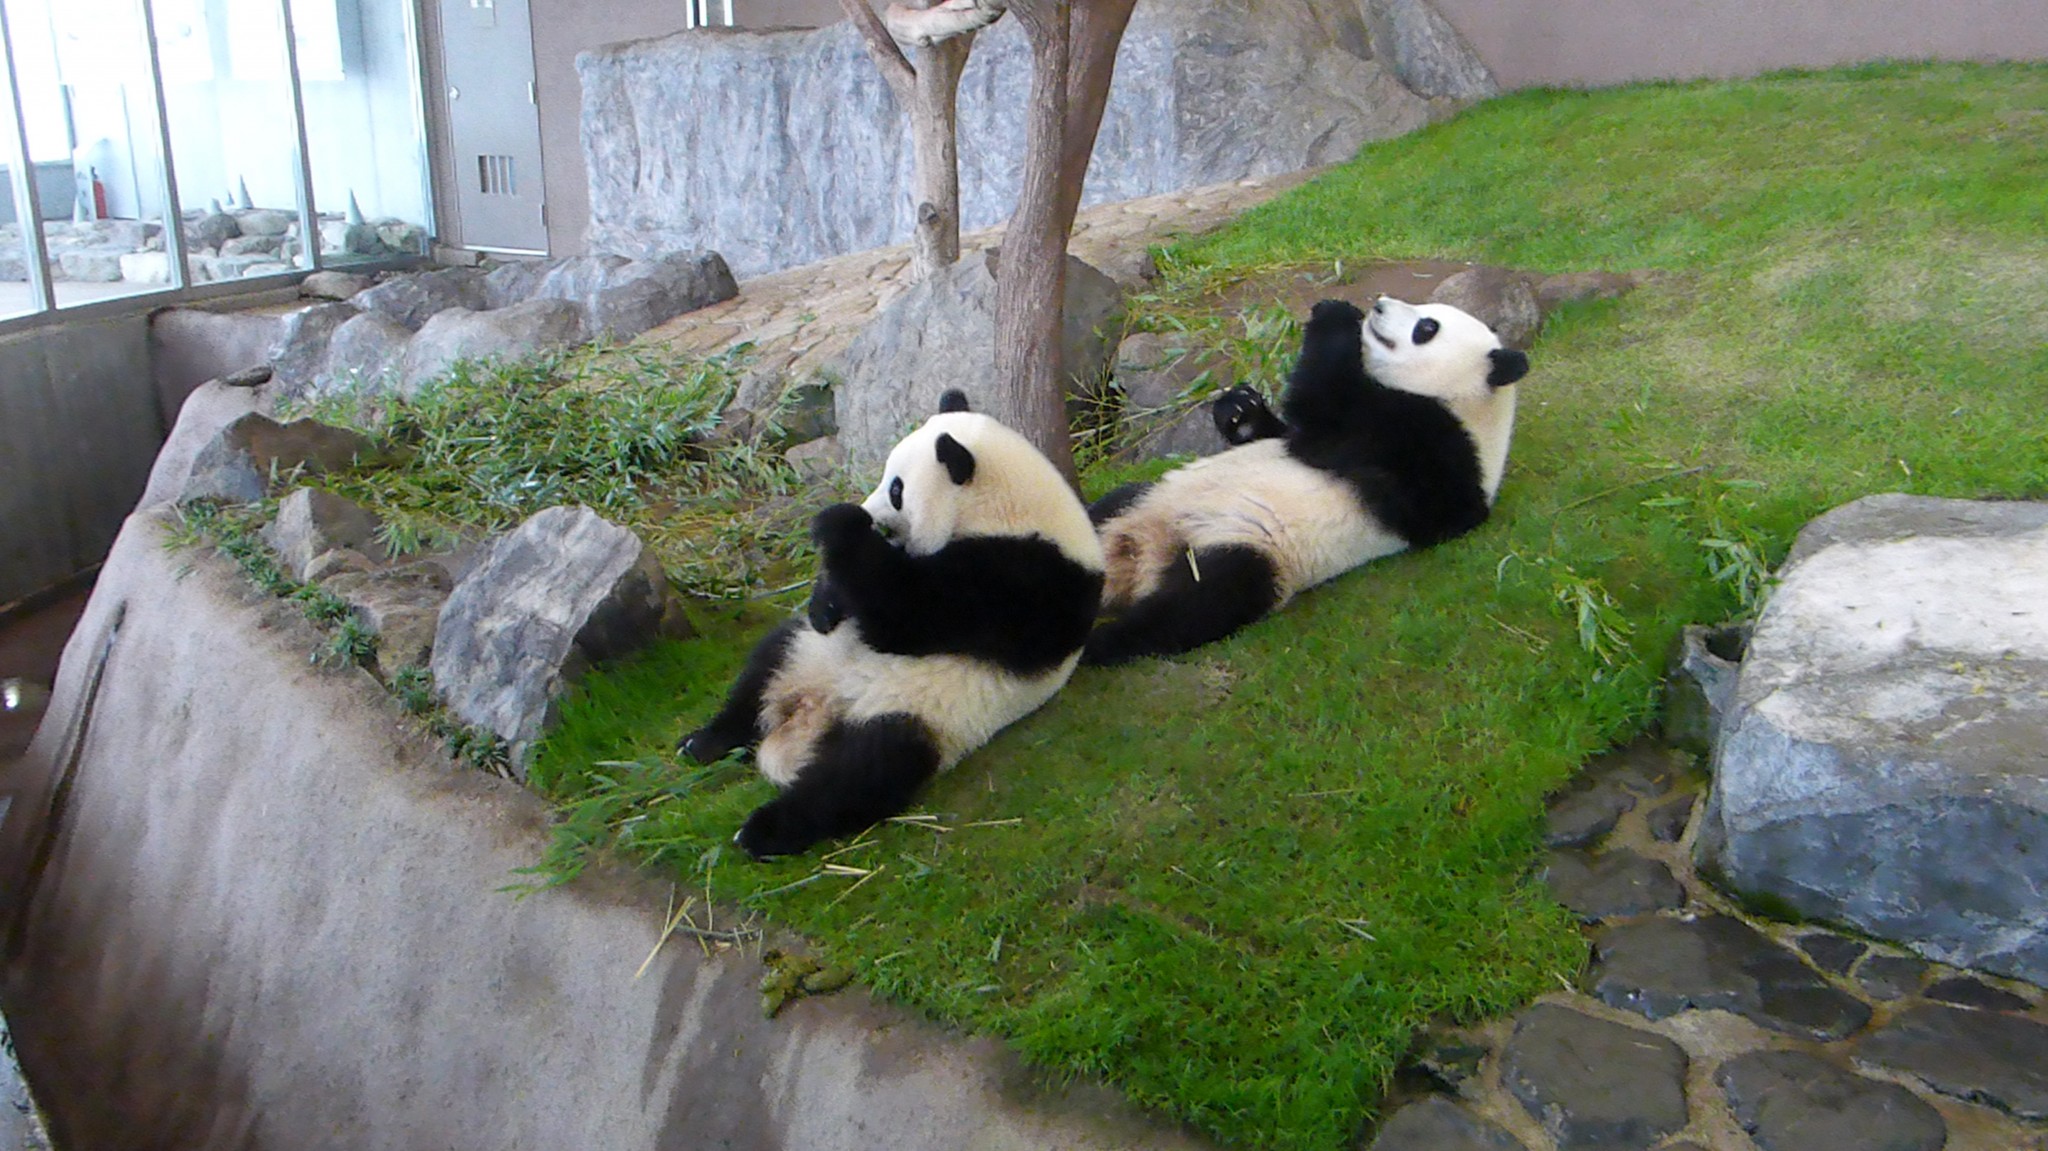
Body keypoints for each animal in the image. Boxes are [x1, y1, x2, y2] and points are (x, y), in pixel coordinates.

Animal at [679, 390, 1105, 859]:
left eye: (897, 489)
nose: (871, 513)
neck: (1011, 505)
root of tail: (814, 715)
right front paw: (824, 602)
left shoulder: (1026, 579)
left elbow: (909, 614)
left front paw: (840, 523)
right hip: (809, 655)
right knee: (762, 671)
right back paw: (703, 742)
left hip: (925, 713)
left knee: (861, 772)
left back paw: (764, 830)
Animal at [1083, 295, 1529, 665]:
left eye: (1427, 327)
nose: (1379, 305)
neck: (1469, 408)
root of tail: (1145, 561)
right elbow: (1284, 432)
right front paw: (1239, 408)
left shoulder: (1427, 451)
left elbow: (1327, 416)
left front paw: (1337, 315)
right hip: (1144, 498)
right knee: (1101, 514)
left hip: (1252, 552)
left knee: (1197, 606)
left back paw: (1099, 644)